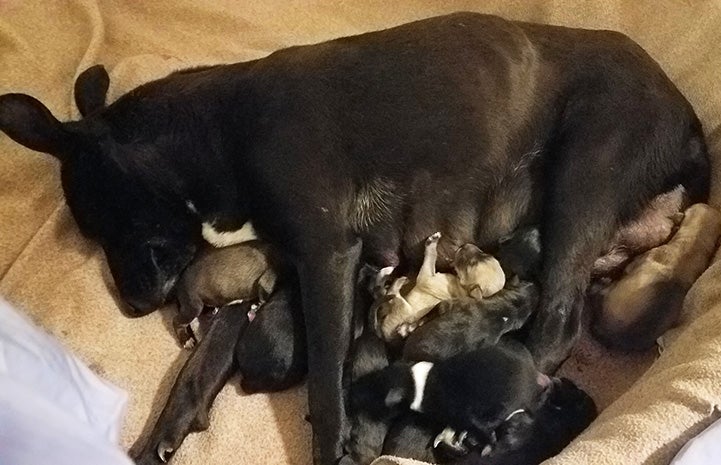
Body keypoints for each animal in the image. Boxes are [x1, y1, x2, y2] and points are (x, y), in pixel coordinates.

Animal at [374, 232, 504, 340]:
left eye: (472, 263)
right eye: (484, 254)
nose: (464, 245)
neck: (462, 287)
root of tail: (383, 333)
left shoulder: (425, 277)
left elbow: (431, 256)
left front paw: (432, 243)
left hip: (402, 306)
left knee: (392, 293)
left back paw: (397, 281)